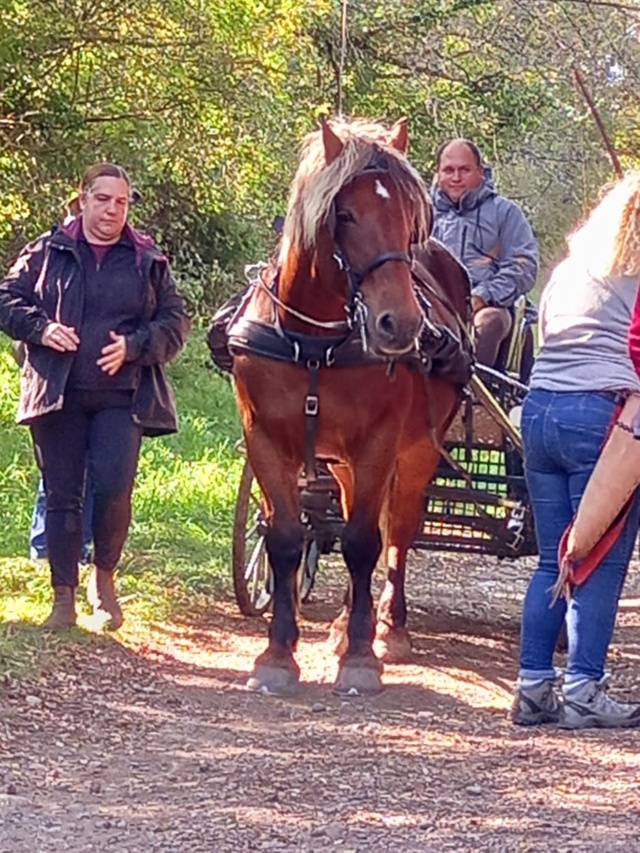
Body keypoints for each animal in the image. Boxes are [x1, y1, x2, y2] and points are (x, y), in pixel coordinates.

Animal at [230, 118, 470, 692]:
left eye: (411, 218)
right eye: (345, 213)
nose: (399, 324)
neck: (314, 342)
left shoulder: (378, 443)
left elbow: (364, 542)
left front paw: (361, 657)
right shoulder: (264, 438)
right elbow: (284, 538)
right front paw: (277, 654)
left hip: (416, 452)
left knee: (396, 532)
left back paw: (389, 627)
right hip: (339, 462)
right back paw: (342, 622)